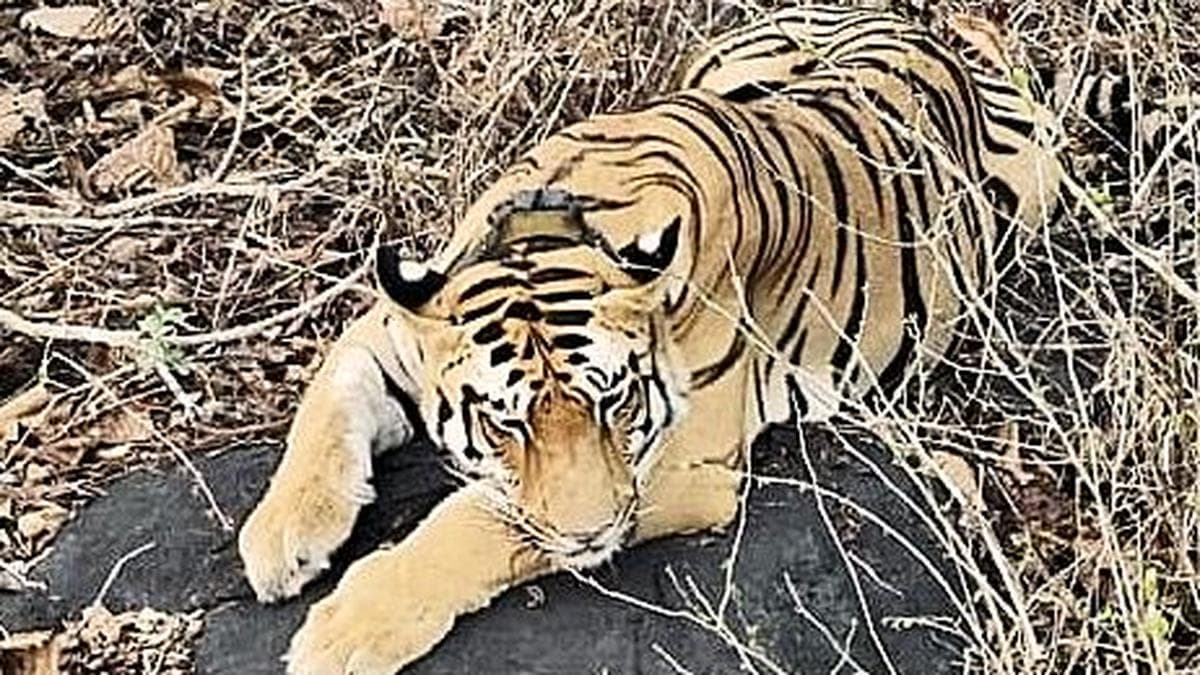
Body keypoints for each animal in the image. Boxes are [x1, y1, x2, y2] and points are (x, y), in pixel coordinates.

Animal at [234, 6, 1168, 674]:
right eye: (505, 422)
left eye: (614, 404)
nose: (590, 539)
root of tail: (952, 38)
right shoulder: (396, 329)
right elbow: (325, 404)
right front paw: (281, 535)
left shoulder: (679, 468)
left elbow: (481, 521)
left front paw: (348, 628)